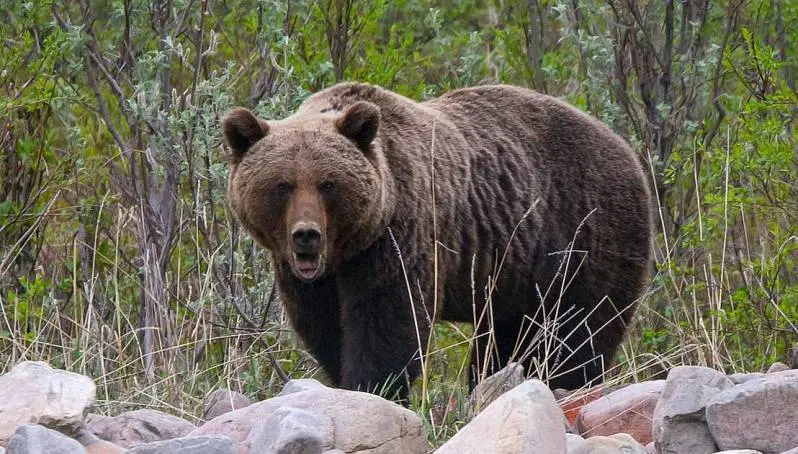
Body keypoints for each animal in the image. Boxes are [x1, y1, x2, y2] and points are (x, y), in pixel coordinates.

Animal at [222, 82, 652, 403]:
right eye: (282, 185)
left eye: (328, 184)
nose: (307, 234)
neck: (350, 248)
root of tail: (627, 148)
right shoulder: (307, 275)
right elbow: (324, 325)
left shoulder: (399, 236)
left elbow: (389, 321)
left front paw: (373, 386)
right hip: (517, 271)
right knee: (510, 336)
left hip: (584, 235)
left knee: (580, 327)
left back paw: (566, 382)